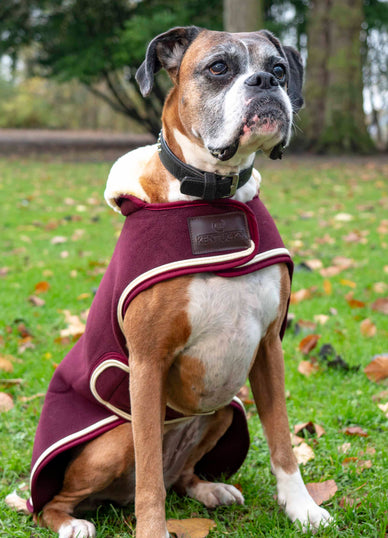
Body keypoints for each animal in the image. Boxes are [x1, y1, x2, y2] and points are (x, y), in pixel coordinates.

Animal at [6, 26, 332, 536]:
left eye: (279, 69)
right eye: (218, 68)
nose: (264, 82)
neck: (213, 195)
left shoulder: (268, 349)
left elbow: (281, 438)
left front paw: (302, 508)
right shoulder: (146, 364)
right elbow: (149, 478)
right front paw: (152, 530)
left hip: (222, 408)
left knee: (178, 473)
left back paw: (209, 488)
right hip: (115, 438)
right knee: (61, 498)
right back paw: (70, 523)